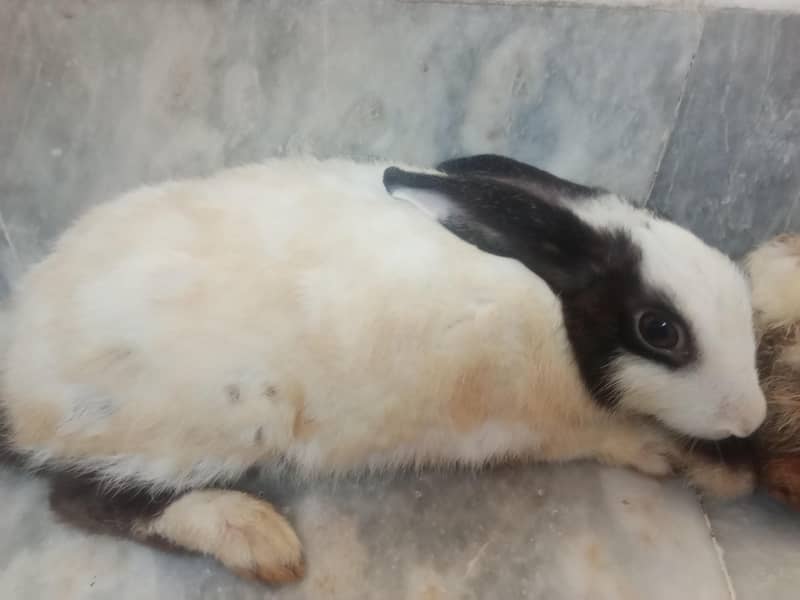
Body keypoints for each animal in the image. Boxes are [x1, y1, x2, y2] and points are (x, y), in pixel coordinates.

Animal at [0, 154, 766, 584]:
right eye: (659, 330)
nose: (750, 417)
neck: (557, 316)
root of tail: (17, 380)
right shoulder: (534, 424)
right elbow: (607, 436)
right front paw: (671, 454)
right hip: (221, 421)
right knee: (83, 498)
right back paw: (254, 536)